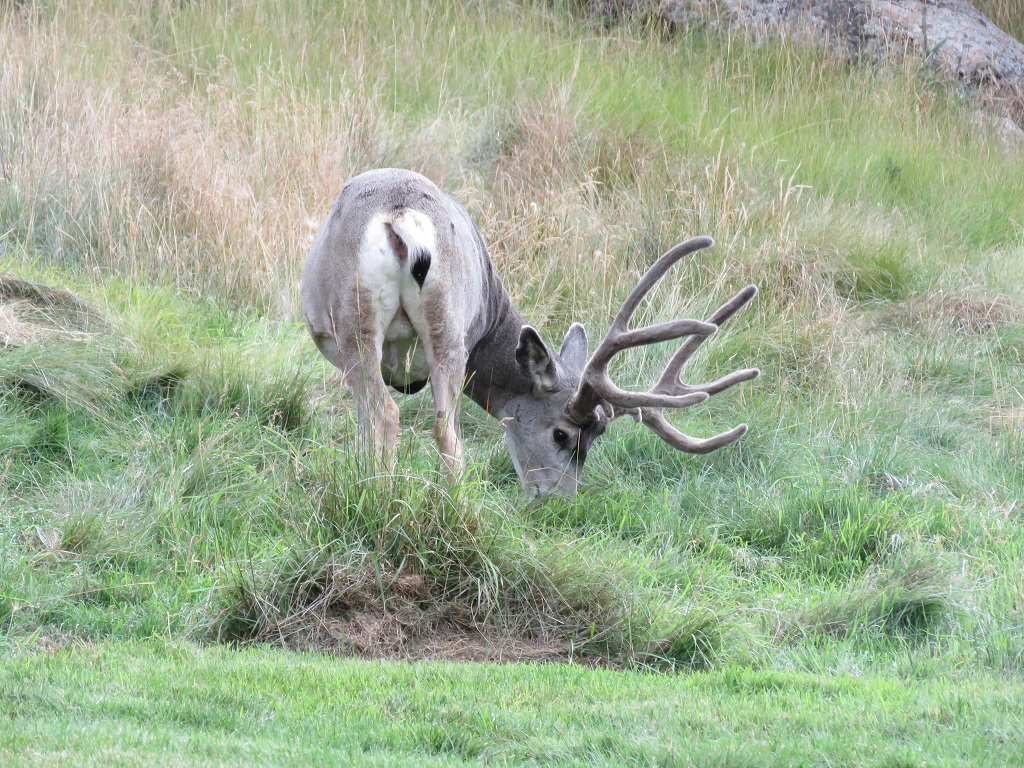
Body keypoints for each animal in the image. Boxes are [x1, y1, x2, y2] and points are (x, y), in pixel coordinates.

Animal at [301, 168, 759, 500]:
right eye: (562, 434)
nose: (557, 499)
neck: (491, 316)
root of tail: (400, 216)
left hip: (357, 327)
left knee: (393, 415)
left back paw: (380, 495)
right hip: (443, 327)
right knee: (443, 429)